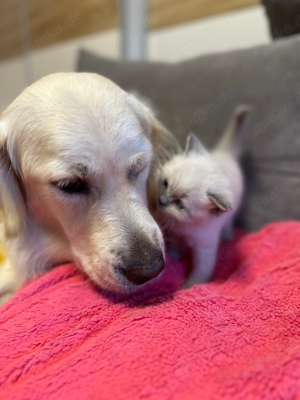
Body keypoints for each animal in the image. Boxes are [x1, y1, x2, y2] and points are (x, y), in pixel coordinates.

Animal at [152, 106, 248, 288]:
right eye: (165, 184)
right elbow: (176, 245)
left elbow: (200, 273)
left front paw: (189, 286)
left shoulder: (205, 249)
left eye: (179, 204)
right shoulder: (176, 232)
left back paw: (227, 236)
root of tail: (224, 153)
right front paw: (176, 256)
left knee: (230, 220)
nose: (161, 201)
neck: (187, 227)